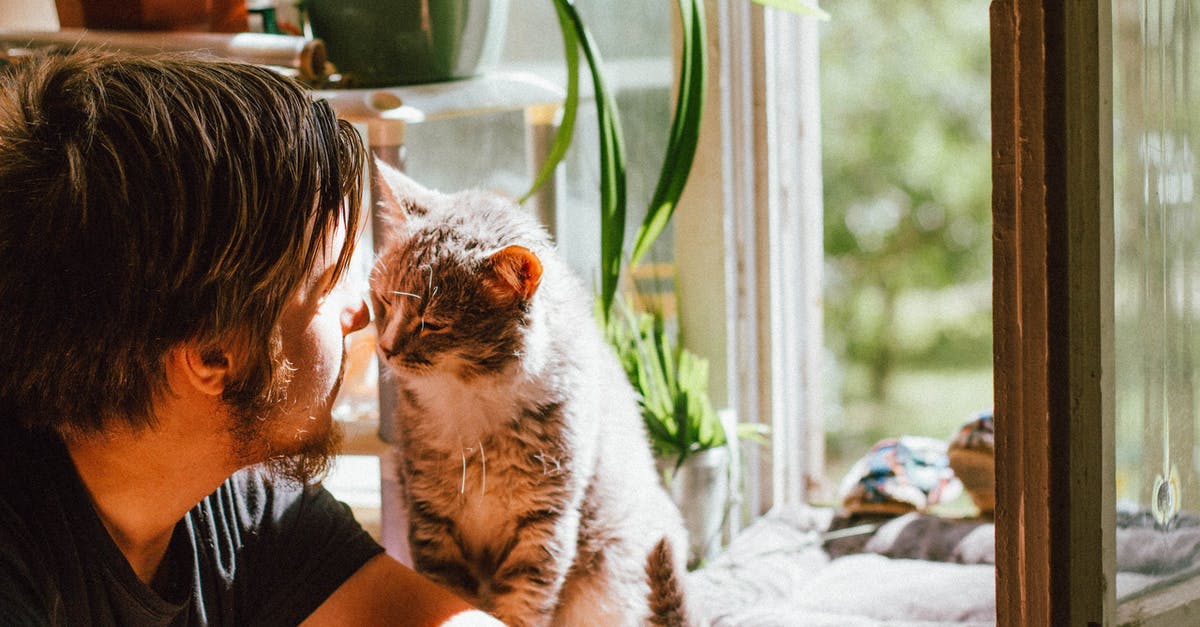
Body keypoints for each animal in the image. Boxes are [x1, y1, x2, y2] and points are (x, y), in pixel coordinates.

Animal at [364, 162, 691, 624]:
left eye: (432, 323)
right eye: (384, 302)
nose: (386, 348)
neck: (471, 399)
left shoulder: (545, 523)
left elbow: (523, 601)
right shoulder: (431, 517)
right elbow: (449, 591)